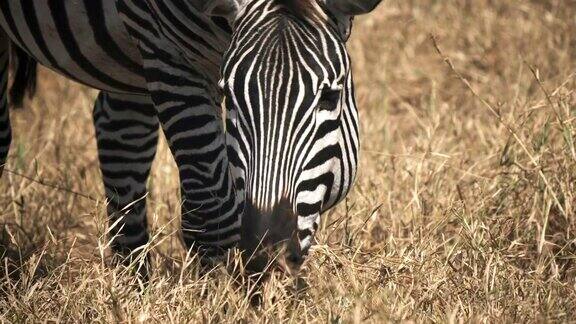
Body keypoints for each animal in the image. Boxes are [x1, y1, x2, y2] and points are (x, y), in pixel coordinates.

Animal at [0, 0, 382, 274]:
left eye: (329, 97)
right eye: (230, 95)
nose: (265, 253)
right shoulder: (167, 50)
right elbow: (212, 213)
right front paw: (225, 304)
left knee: (121, 133)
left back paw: (134, 283)